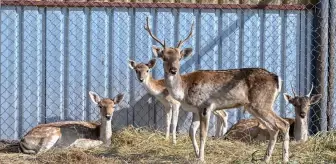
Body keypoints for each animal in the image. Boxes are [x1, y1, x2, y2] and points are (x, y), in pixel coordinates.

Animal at [146, 17, 290, 163]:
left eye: (179, 58)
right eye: (164, 58)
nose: (173, 70)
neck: (183, 90)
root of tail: (277, 79)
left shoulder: (205, 105)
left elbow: (202, 134)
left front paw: (201, 158)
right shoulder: (195, 110)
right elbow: (191, 132)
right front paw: (196, 154)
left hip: (261, 103)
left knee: (283, 124)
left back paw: (284, 158)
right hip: (253, 106)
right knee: (274, 128)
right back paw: (266, 158)